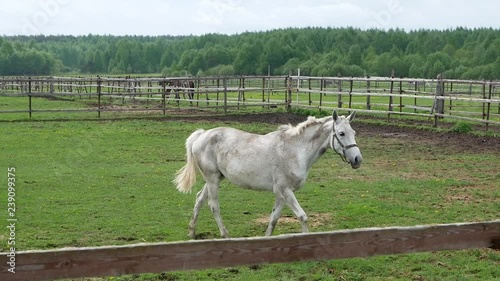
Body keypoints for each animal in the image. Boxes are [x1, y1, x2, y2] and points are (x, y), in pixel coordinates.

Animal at [174, 110, 362, 237]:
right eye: (341, 133)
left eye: (353, 132)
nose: (357, 159)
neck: (295, 150)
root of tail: (202, 135)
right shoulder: (285, 190)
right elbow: (302, 216)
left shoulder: (281, 194)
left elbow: (274, 218)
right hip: (212, 179)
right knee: (213, 206)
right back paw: (225, 235)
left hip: (215, 179)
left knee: (199, 199)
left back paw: (192, 233)